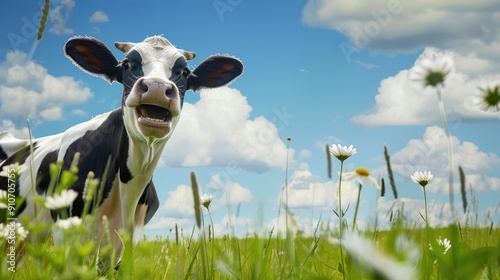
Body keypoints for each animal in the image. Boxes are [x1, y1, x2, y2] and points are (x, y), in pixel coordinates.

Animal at [0, 36, 242, 264]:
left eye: (184, 71)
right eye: (127, 64)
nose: (155, 87)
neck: (127, 192)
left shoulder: (125, 244)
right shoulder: (64, 231)